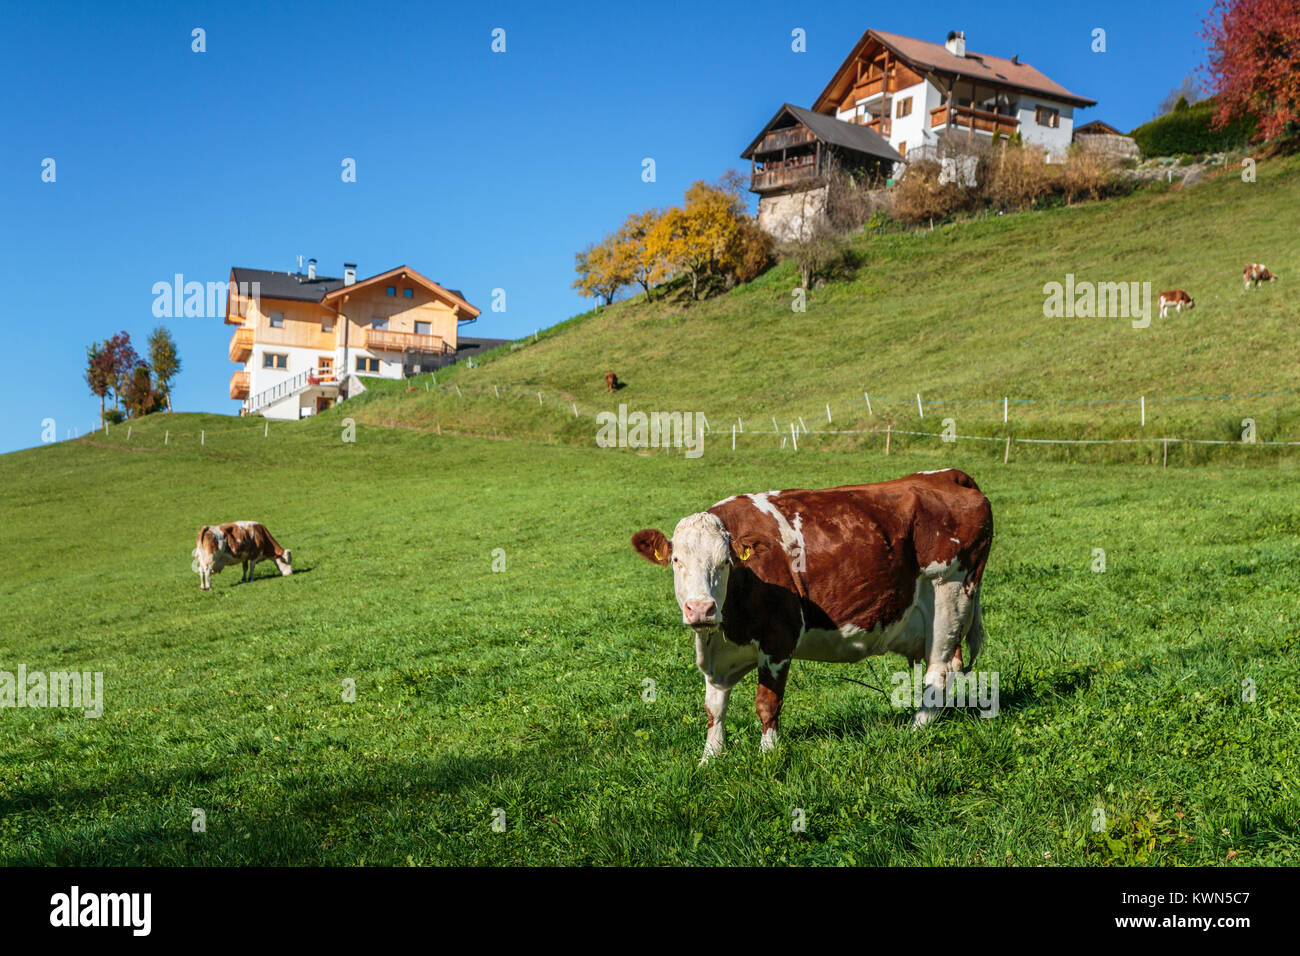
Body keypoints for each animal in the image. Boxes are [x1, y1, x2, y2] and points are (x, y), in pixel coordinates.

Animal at [634, 470, 987, 764]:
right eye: (676, 560)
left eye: (725, 562)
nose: (701, 608)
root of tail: (949, 475)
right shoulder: (717, 654)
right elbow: (715, 707)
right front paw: (709, 759)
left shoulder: (778, 639)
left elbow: (767, 703)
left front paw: (768, 755)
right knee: (948, 668)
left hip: (950, 595)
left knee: (939, 671)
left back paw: (916, 730)